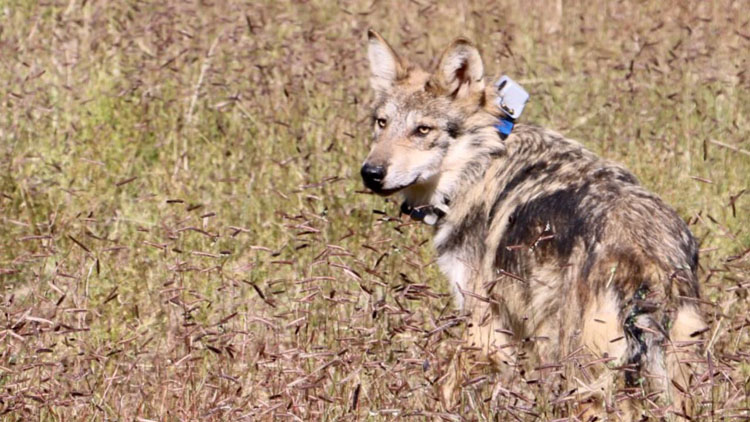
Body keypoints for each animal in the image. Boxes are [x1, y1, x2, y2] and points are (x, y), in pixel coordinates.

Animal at [360, 30, 706, 419]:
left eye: (422, 130)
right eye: (382, 123)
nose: (370, 173)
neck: (477, 166)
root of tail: (649, 262)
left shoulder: (486, 330)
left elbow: (447, 385)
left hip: (581, 378)